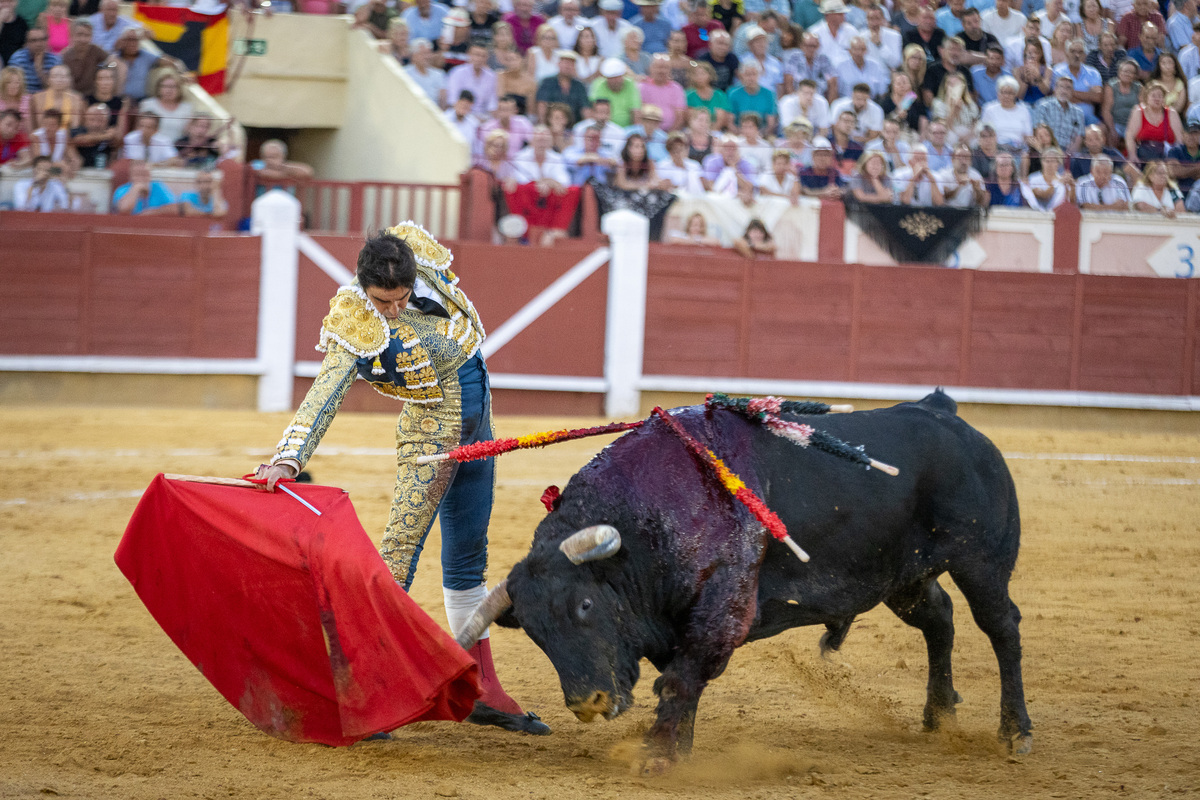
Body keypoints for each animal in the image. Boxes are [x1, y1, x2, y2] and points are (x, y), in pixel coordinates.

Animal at [458, 393, 1032, 762]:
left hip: (980, 560)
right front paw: (678, 749)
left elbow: (682, 678)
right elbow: (681, 681)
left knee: (1001, 625)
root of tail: (945, 414)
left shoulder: (723, 609)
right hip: (902, 576)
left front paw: (657, 754)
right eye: (535, 633)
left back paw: (1015, 732)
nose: (587, 704)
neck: (645, 522)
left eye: (584, 605)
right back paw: (939, 716)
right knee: (940, 619)